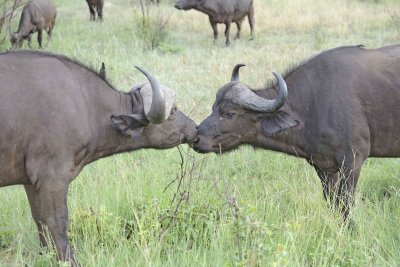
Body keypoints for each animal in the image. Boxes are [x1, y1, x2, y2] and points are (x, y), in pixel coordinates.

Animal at [0, 49, 197, 266]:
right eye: (173, 111)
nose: (195, 128)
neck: (87, 105)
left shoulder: (31, 182)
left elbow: (40, 220)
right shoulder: (52, 178)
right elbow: (57, 221)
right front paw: (69, 260)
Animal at [193, 45, 400, 222]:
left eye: (229, 114)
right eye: (213, 107)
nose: (196, 138)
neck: (313, 104)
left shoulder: (352, 162)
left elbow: (345, 203)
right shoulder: (324, 167)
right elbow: (333, 203)